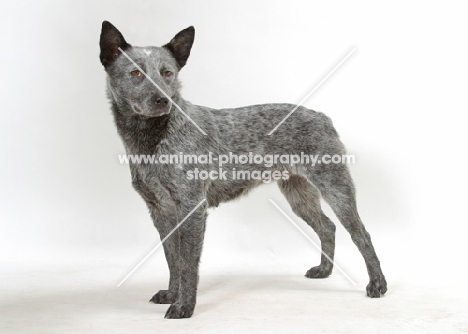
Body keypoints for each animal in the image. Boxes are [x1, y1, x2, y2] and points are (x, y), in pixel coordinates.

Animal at [98, 20, 388, 318]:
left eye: (167, 73)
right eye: (135, 72)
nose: (163, 100)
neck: (155, 137)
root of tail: (322, 117)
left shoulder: (191, 207)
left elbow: (188, 264)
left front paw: (185, 306)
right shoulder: (160, 211)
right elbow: (172, 259)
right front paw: (172, 294)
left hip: (336, 188)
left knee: (361, 234)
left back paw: (377, 283)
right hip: (299, 195)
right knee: (327, 226)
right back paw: (325, 269)